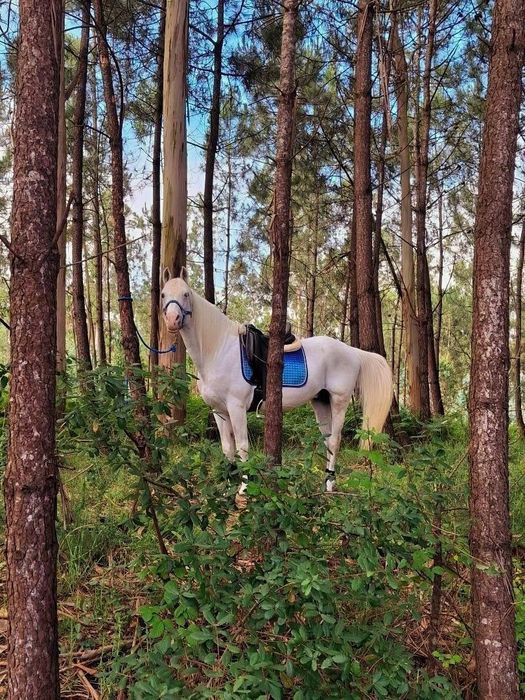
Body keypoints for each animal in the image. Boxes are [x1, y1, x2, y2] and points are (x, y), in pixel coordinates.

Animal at [160, 269, 393, 494]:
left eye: (186, 294)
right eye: (163, 294)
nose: (172, 320)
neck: (218, 349)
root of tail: (352, 351)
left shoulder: (236, 407)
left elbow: (242, 446)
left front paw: (243, 489)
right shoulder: (219, 411)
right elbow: (227, 448)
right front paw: (227, 488)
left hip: (339, 401)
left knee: (335, 440)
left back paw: (329, 485)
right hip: (321, 401)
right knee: (327, 439)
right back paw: (326, 481)